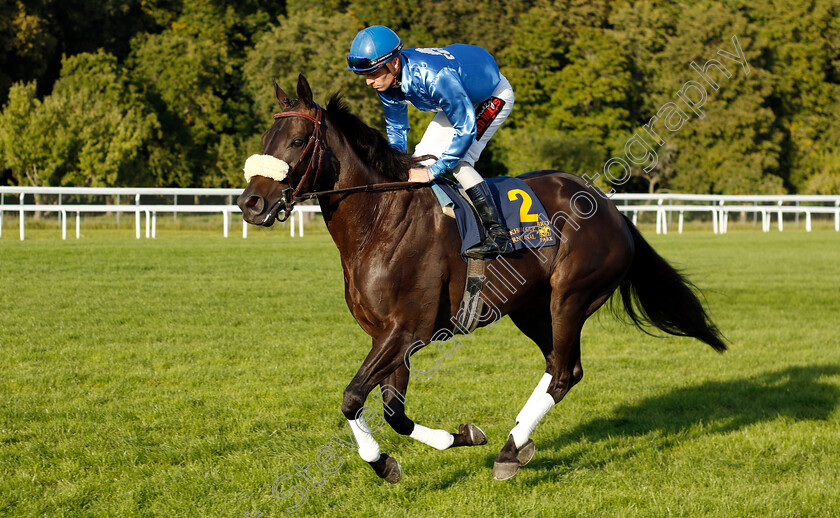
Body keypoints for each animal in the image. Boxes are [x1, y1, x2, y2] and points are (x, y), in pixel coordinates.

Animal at [235, 75, 720, 486]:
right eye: (265, 141)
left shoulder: (406, 330)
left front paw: (382, 462)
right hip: (530, 308)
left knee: (564, 373)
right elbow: (394, 412)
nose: (250, 204)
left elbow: (353, 397)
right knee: (558, 366)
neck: (381, 221)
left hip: (570, 298)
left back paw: (509, 452)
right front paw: (457, 437)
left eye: (298, 140)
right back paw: (518, 442)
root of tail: (611, 209)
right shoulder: (388, 336)